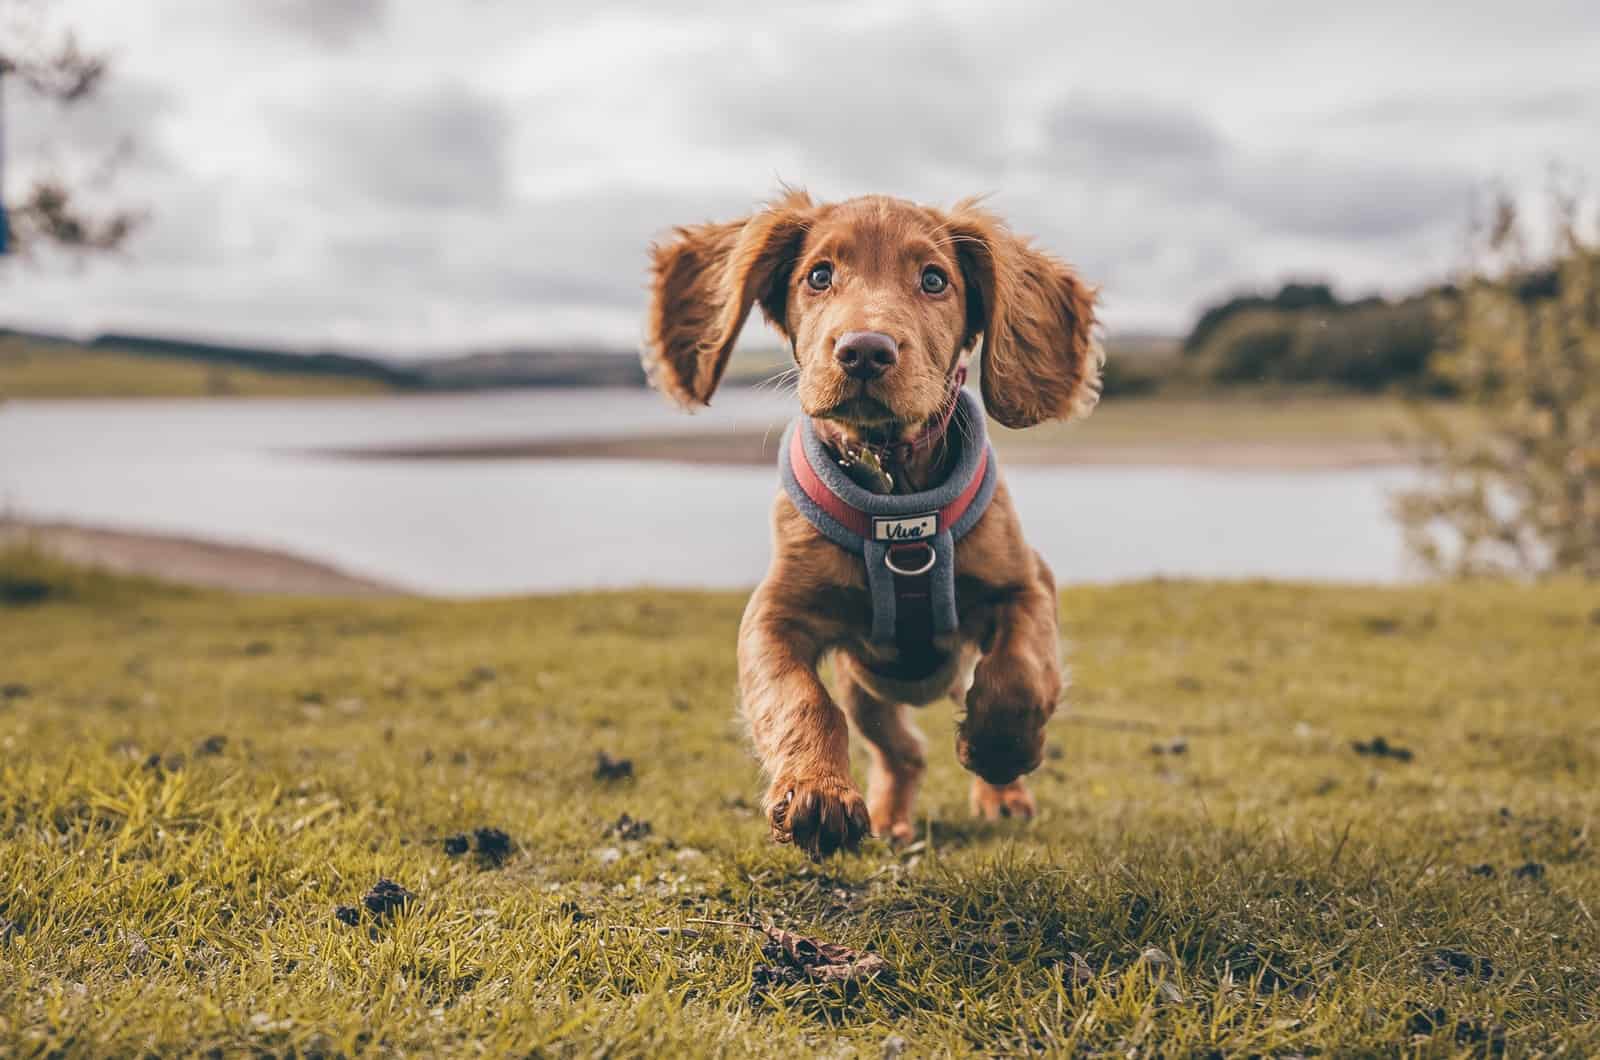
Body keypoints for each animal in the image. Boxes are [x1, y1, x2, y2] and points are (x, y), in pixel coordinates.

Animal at [636, 188, 1100, 858]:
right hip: (868, 690)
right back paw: (889, 819)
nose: (863, 352)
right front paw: (816, 793)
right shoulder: (773, 617)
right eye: (818, 276)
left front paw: (998, 751)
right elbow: (800, 699)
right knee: (903, 752)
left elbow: (1020, 673)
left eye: (934, 280)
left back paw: (1002, 795)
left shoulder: (1029, 583)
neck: (895, 490)